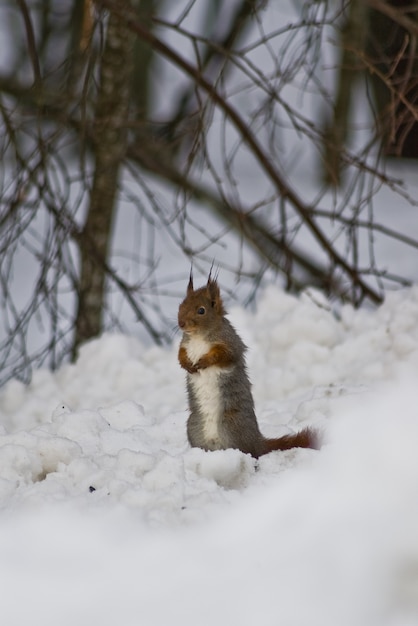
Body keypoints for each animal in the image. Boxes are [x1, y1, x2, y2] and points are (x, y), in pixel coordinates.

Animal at [177, 272, 320, 458]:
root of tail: (258, 443)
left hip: (231, 423)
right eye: (181, 305)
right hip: (193, 426)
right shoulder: (184, 345)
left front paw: (204, 361)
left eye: (201, 310)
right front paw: (187, 364)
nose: (180, 323)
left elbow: (223, 356)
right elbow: (180, 355)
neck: (198, 337)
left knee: (250, 453)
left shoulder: (231, 343)